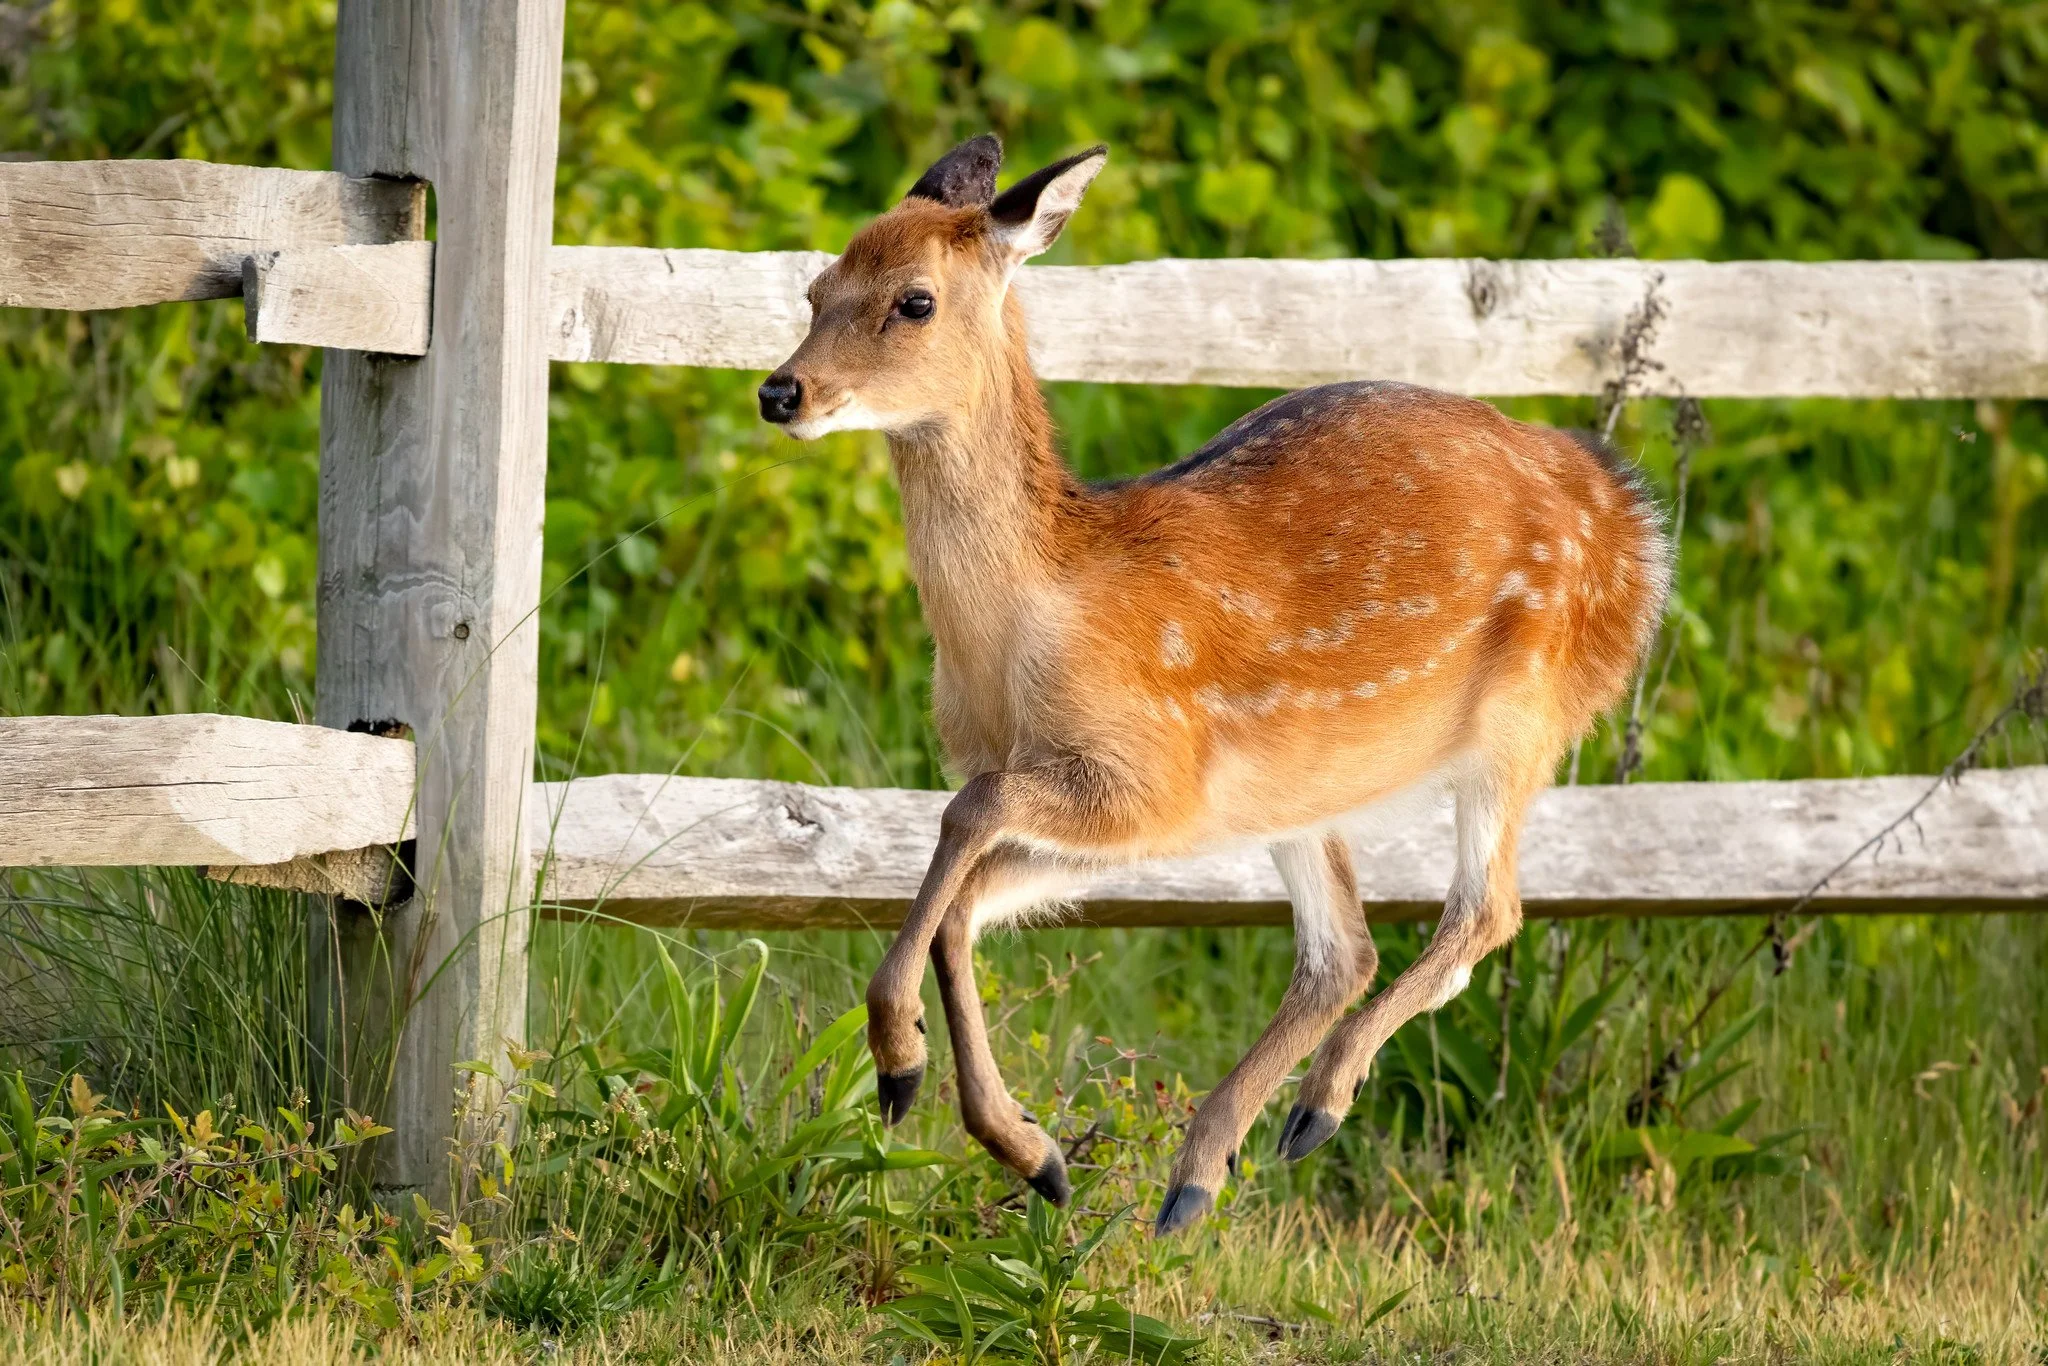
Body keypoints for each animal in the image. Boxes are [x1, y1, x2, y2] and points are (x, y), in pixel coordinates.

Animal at [756, 136, 1671, 1236]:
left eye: (914, 301)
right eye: (815, 289)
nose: (780, 392)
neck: (1023, 636)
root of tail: (1633, 520)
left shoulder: (1153, 773)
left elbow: (962, 817)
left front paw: (900, 1064)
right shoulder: (1139, 814)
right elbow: (962, 905)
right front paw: (1029, 1150)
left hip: (1520, 719)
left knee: (1484, 912)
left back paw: (1316, 1107)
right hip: (1301, 790)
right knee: (1344, 950)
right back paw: (1201, 1171)